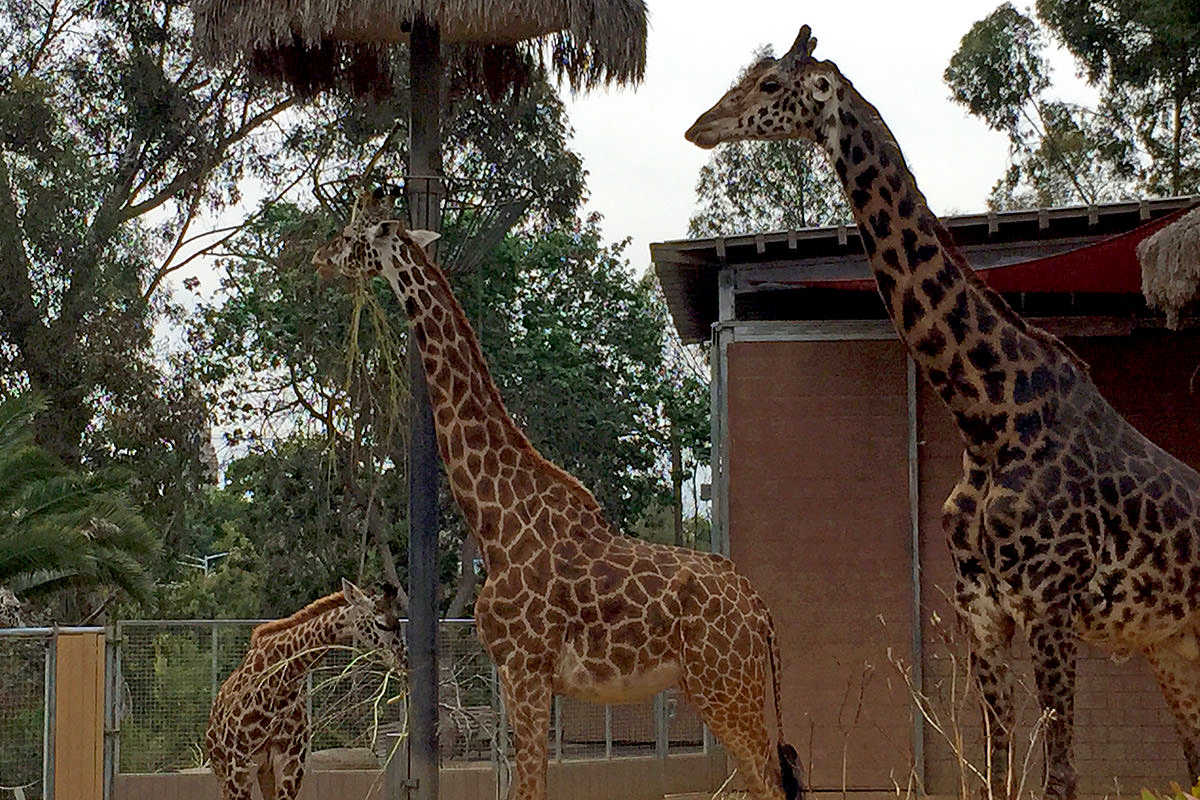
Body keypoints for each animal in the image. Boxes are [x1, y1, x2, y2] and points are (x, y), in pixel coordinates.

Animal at [200, 582, 398, 800]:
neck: (278, 690)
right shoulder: (239, 766)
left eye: (398, 621)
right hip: (224, 771)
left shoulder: (290, 763)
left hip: (264, 771)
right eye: (381, 624)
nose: (401, 658)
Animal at [314, 195, 806, 800]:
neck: (497, 518)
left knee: (771, 782)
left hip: (725, 685)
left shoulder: (524, 669)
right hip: (726, 684)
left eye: (351, 235)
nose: (318, 258)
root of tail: (760, 611)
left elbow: (528, 788)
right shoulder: (517, 676)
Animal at [691, 25, 1200, 800]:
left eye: (771, 84)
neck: (989, 415)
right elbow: (994, 772)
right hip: (1174, 645)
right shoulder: (983, 614)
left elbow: (1060, 777)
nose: (700, 126)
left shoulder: (1051, 608)